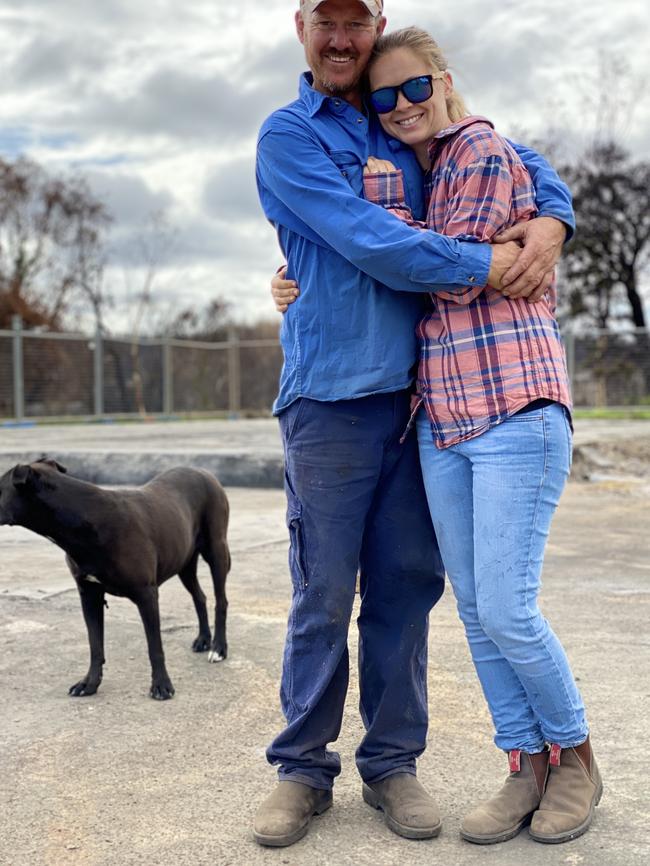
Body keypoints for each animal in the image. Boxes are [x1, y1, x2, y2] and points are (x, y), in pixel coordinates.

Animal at [0, 460, 230, 696]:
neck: (83, 517)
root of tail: (203, 471)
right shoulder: (89, 595)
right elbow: (95, 644)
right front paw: (89, 683)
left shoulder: (146, 594)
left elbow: (154, 647)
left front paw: (161, 685)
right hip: (184, 563)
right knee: (199, 597)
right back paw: (203, 640)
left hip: (217, 551)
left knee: (221, 601)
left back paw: (218, 648)